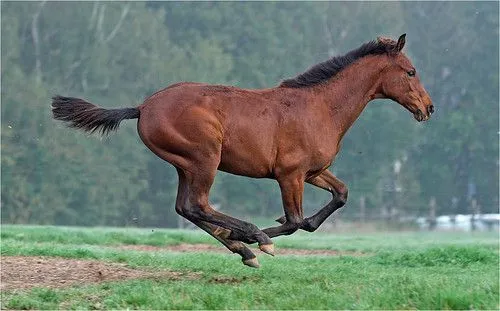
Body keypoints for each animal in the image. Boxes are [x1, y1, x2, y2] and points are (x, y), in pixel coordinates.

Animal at [51, 34, 434, 268]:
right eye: (411, 71)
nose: (428, 108)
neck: (321, 107)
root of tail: (143, 107)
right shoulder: (289, 174)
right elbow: (294, 222)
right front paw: (264, 236)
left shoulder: (312, 172)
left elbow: (340, 195)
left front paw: (259, 235)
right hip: (205, 158)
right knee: (198, 205)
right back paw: (249, 237)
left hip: (184, 165)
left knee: (185, 207)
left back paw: (241, 248)